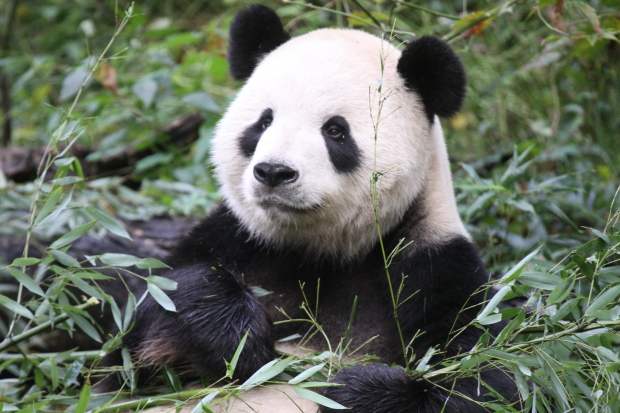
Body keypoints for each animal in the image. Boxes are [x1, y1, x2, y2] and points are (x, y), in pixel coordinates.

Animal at [101, 4, 520, 412]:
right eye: (264, 121)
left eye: (335, 130)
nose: (274, 172)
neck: (319, 252)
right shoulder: (234, 239)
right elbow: (133, 341)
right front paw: (237, 336)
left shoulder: (435, 268)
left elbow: (485, 379)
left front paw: (345, 391)